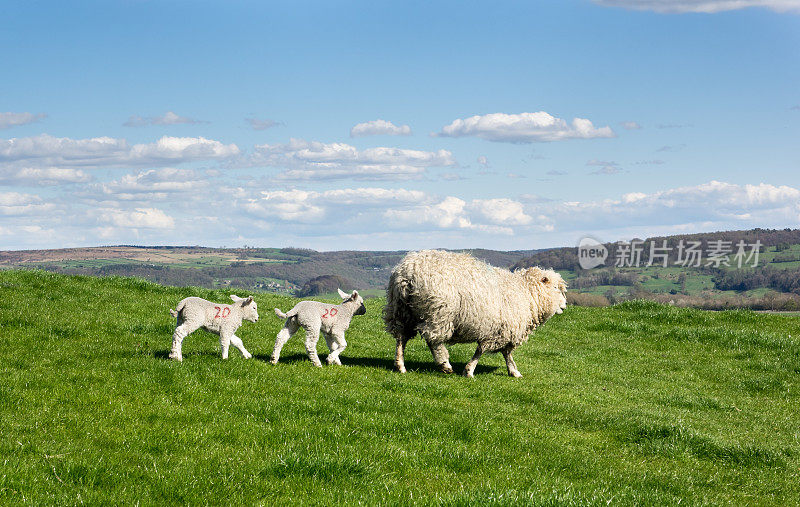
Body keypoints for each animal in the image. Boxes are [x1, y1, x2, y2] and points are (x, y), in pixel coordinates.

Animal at [382, 250, 564, 378]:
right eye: (556, 288)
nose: (564, 304)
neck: (526, 293)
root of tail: (407, 273)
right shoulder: (499, 331)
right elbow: (482, 351)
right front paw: (469, 370)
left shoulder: (502, 331)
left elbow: (506, 354)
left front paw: (513, 371)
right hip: (439, 312)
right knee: (433, 340)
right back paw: (444, 364)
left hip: (401, 310)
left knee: (401, 337)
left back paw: (400, 365)